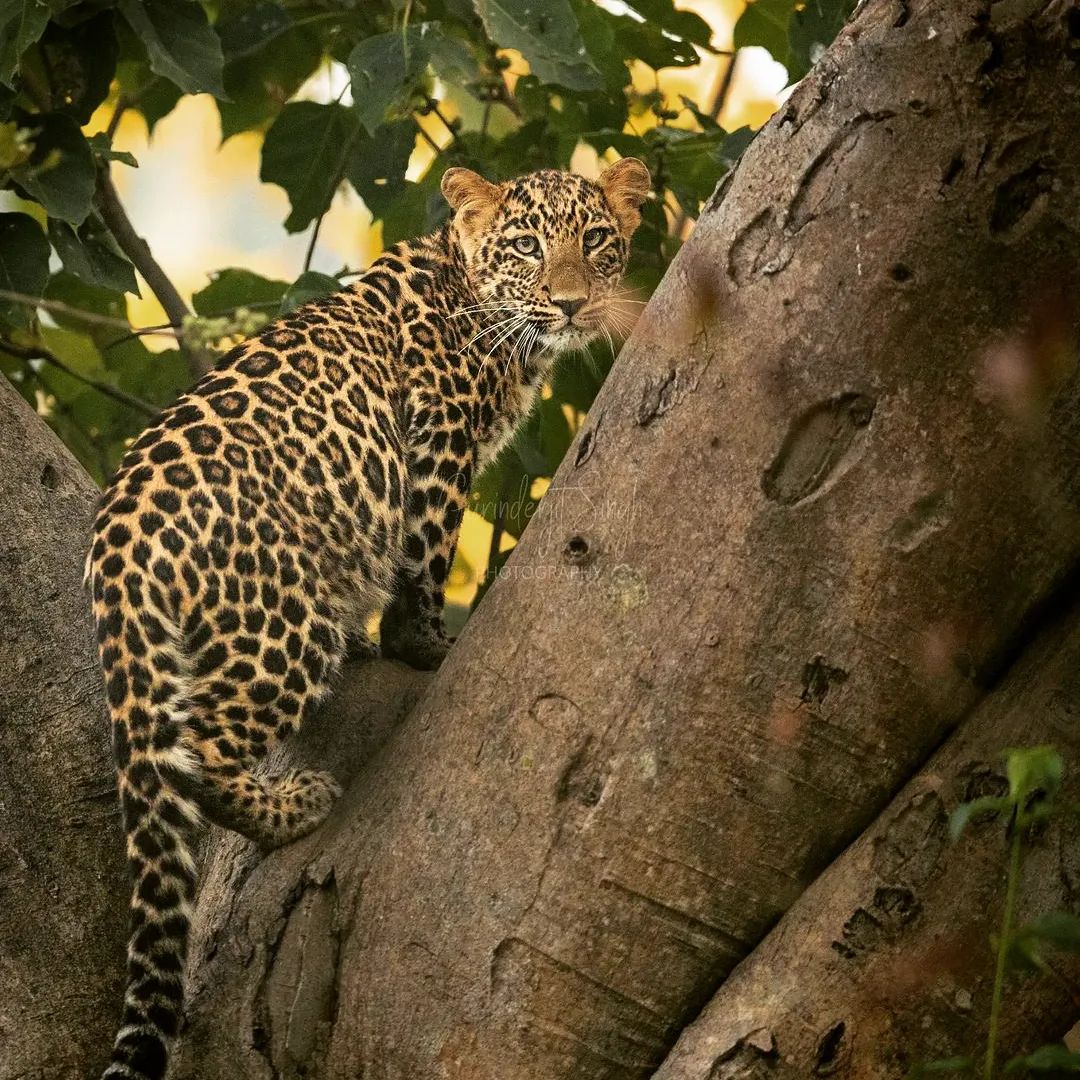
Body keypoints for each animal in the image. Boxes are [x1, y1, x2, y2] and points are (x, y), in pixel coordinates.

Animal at [83, 156, 650, 1080]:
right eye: (527, 247)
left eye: (596, 241)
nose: (570, 305)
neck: (469, 288)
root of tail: (116, 536)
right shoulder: (439, 439)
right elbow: (424, 554)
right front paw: (425, 645)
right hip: (280, 623)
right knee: (199, 756)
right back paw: (298, 804)